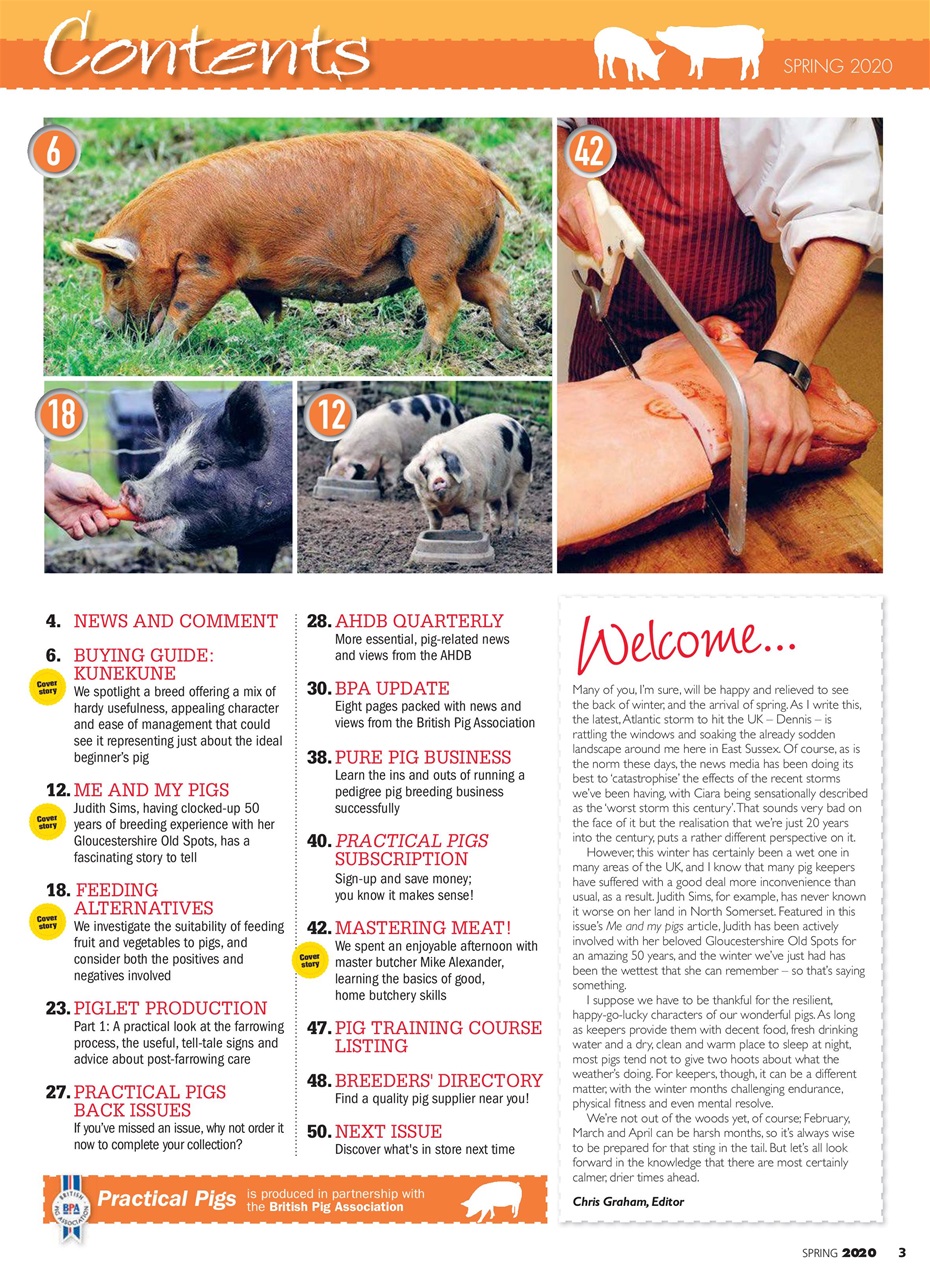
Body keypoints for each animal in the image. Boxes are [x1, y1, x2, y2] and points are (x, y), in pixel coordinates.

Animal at [60, 131, 524, 358]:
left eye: (115, 278)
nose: (102, 327)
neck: (164, 234)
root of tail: (482, 173)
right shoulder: (254, 280)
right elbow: (269, 309)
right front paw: (275, 339)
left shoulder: (208, 264)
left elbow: (184, 308)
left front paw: (157, 354)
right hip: (470, 255)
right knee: (495, 286)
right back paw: (516, 344)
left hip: (431, 247)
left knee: (446, 300)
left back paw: (420, 356)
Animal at [404, 414, 533, 537]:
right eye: (425, 472)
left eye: (446, 468)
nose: (438, 479)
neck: (448, 505)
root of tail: (516, 423)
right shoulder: (429, 507)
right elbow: (435, 525)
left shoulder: (476, 501)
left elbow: (474, 526)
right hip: (495, 484)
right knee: (496, 504)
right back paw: (495, 532)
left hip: (521, 474)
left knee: (513, 506)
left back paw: (511, 535)